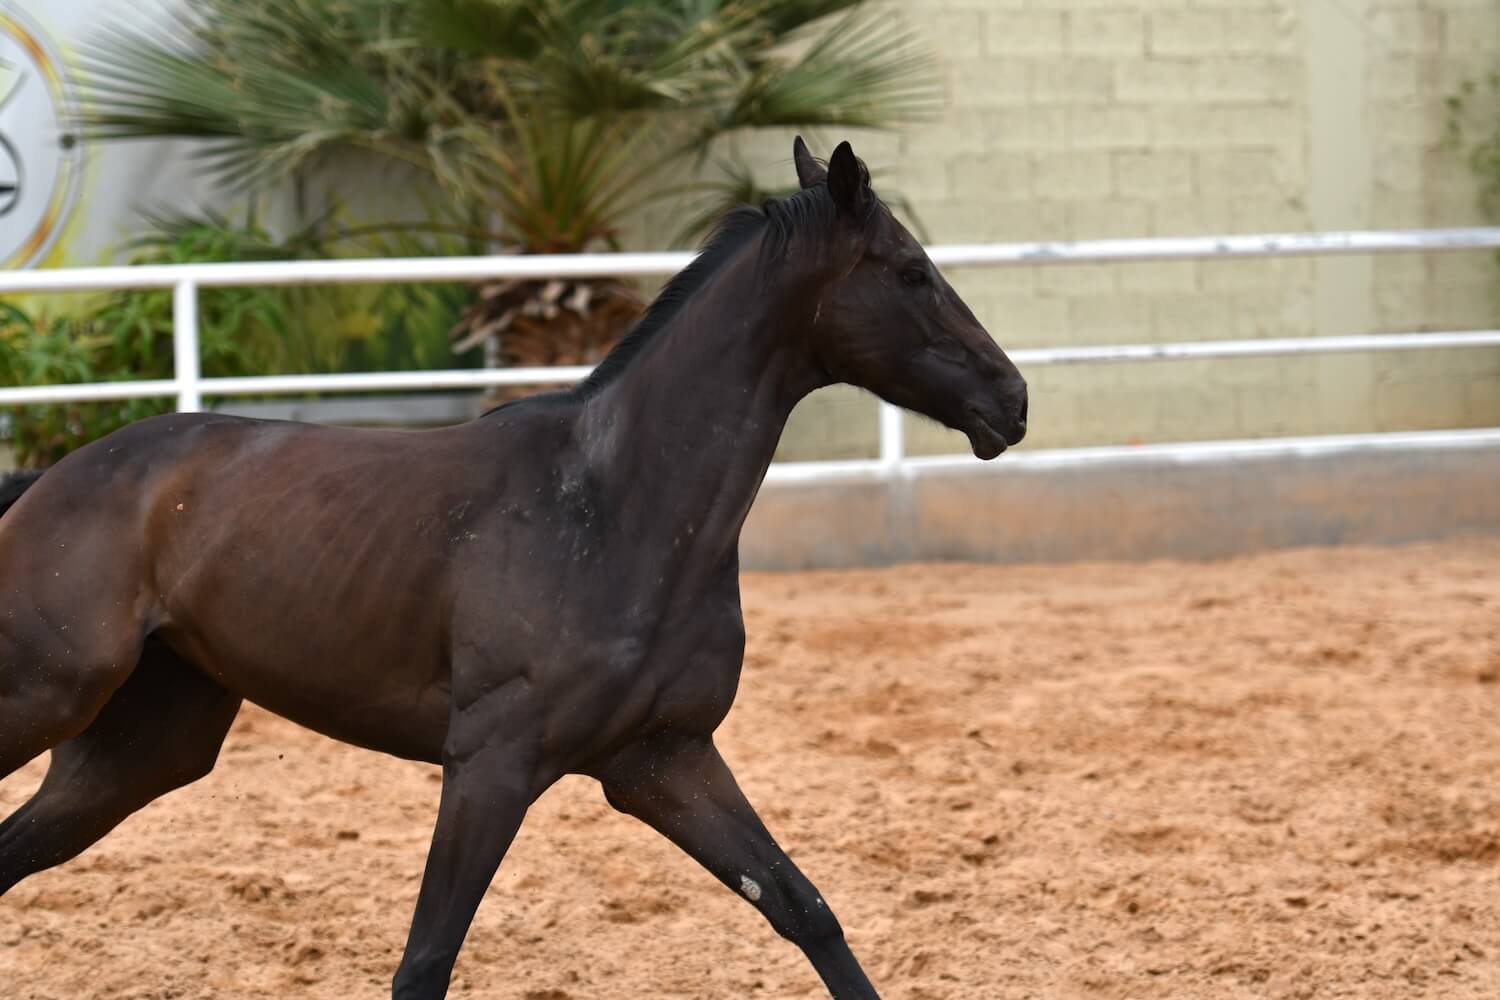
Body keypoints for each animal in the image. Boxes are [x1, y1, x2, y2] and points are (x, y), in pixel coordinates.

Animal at [0, 138, 1026, 995]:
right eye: (912, 271)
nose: (1011, 400)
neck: (612, 508)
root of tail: (50, 481)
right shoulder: (491, 764)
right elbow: (425, 962)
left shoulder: (663, 759)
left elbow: (804, 908)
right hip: (48, 696)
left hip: (139, 750)